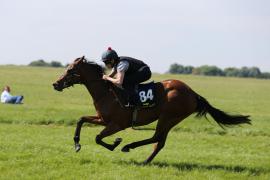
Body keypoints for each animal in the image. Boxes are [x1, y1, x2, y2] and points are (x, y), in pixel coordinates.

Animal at [52, 56, 251, 165]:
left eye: (70, 70)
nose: (55, 84)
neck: (106, 92)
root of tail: (193, 93)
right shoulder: (102, 119)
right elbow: (81, 119)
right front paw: (77, 144)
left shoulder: (117, 124)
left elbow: (98, 138)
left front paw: (115, 143)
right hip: (170, 119)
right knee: (159, 142)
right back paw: (145, 159)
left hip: (168, 117)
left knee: (157, 138)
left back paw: (128, 147)